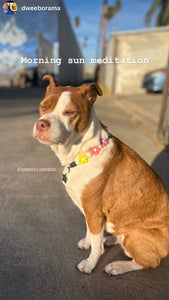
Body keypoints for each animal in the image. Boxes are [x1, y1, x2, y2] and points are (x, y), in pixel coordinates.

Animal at [33, 75, 169, 274]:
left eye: (70, 112)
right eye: (43, 106)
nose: (42, 124)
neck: (83, 151)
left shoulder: (94, 209)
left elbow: (97, 246)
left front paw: (90, 264)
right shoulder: (89, 211)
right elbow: (91, 232)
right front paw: (88, 243)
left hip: (136, 234)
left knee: (148, 262)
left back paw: (118, 266)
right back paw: (111, 238)